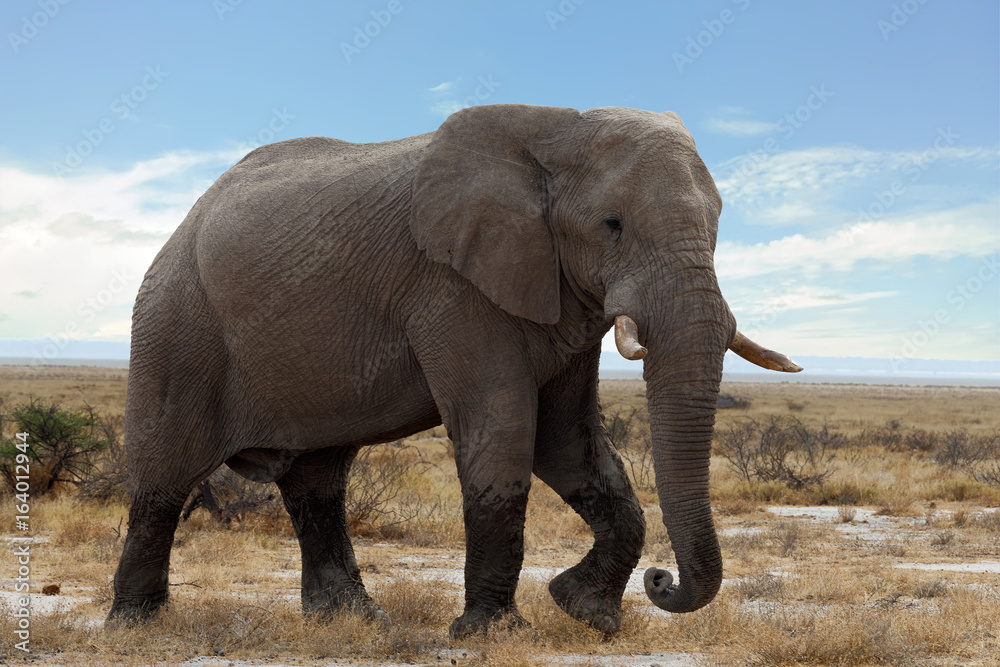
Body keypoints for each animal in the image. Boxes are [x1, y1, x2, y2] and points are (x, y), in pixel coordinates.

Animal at [108, 103, 801, 638]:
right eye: (612, 224)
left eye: (718, 224)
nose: (663, 579)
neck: (556, 129)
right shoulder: (451, 287)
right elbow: (504, 435)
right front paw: (493, 633)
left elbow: (571, 445)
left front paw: (585, 613)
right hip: (177, 323)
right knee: (165, 476)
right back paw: (137, 626)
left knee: (317, 482)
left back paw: (353, 622)